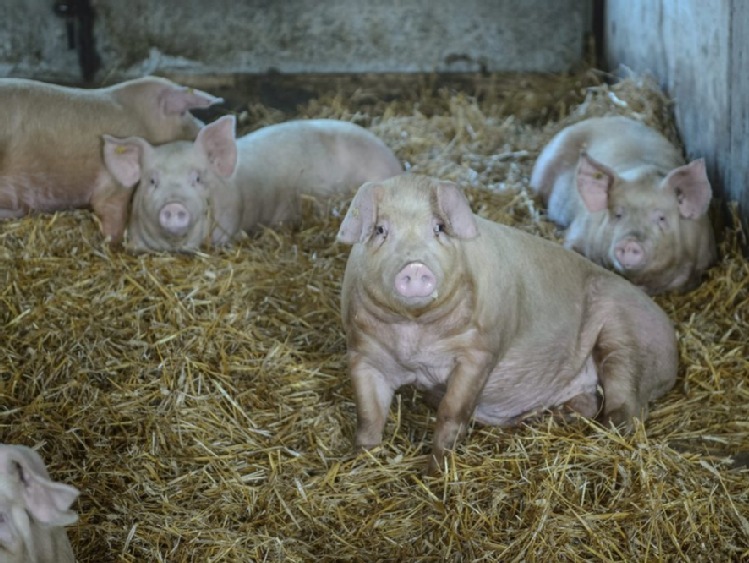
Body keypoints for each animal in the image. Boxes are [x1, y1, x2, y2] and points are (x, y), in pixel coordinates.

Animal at [338, 176, 676, 476]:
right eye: (381, 230)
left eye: (439, 228)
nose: (416, 267)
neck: (414, 334)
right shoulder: (362, 352)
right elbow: (368, 415)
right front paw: (361, 464)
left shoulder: (480, 351)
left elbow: (452, 412)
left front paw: (435, 473)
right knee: (591, 402)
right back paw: (556, 415)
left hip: (625, 340)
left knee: (626, 411)